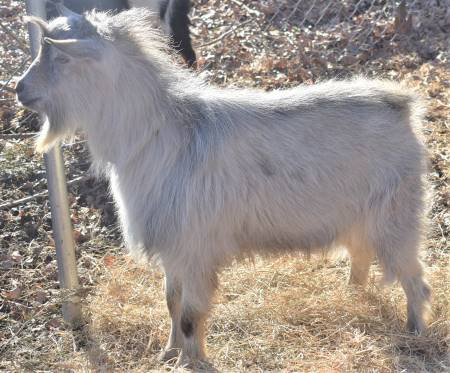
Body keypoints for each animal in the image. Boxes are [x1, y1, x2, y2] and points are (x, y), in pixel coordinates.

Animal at [16, 7, 432, 364]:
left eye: (64, 59)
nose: (19, 89)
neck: (158, 133)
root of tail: (403, 107)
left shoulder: (195, 249)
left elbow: (189, 314)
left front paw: (191, 362)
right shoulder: (174, 250)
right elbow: (171, 301)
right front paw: (169, 354)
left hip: (397, 217)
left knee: (414, 280)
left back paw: (415, 333)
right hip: (358, 218)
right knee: (360, 257)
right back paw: (352, 296)